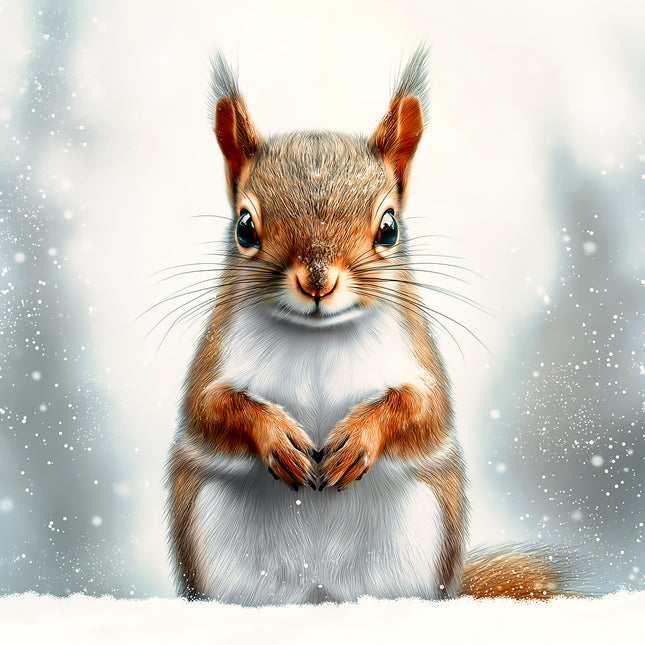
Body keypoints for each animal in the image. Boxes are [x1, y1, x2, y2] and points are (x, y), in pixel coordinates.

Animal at [166, 47, 570, 604]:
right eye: (245, 227)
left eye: (389, 228)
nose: (318, 282)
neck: (317, 336)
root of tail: (320, 595)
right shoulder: (212, 356)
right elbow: (208, 409)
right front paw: (277, 436)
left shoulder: (420, 357)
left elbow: (423, 410)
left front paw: (359, 438)